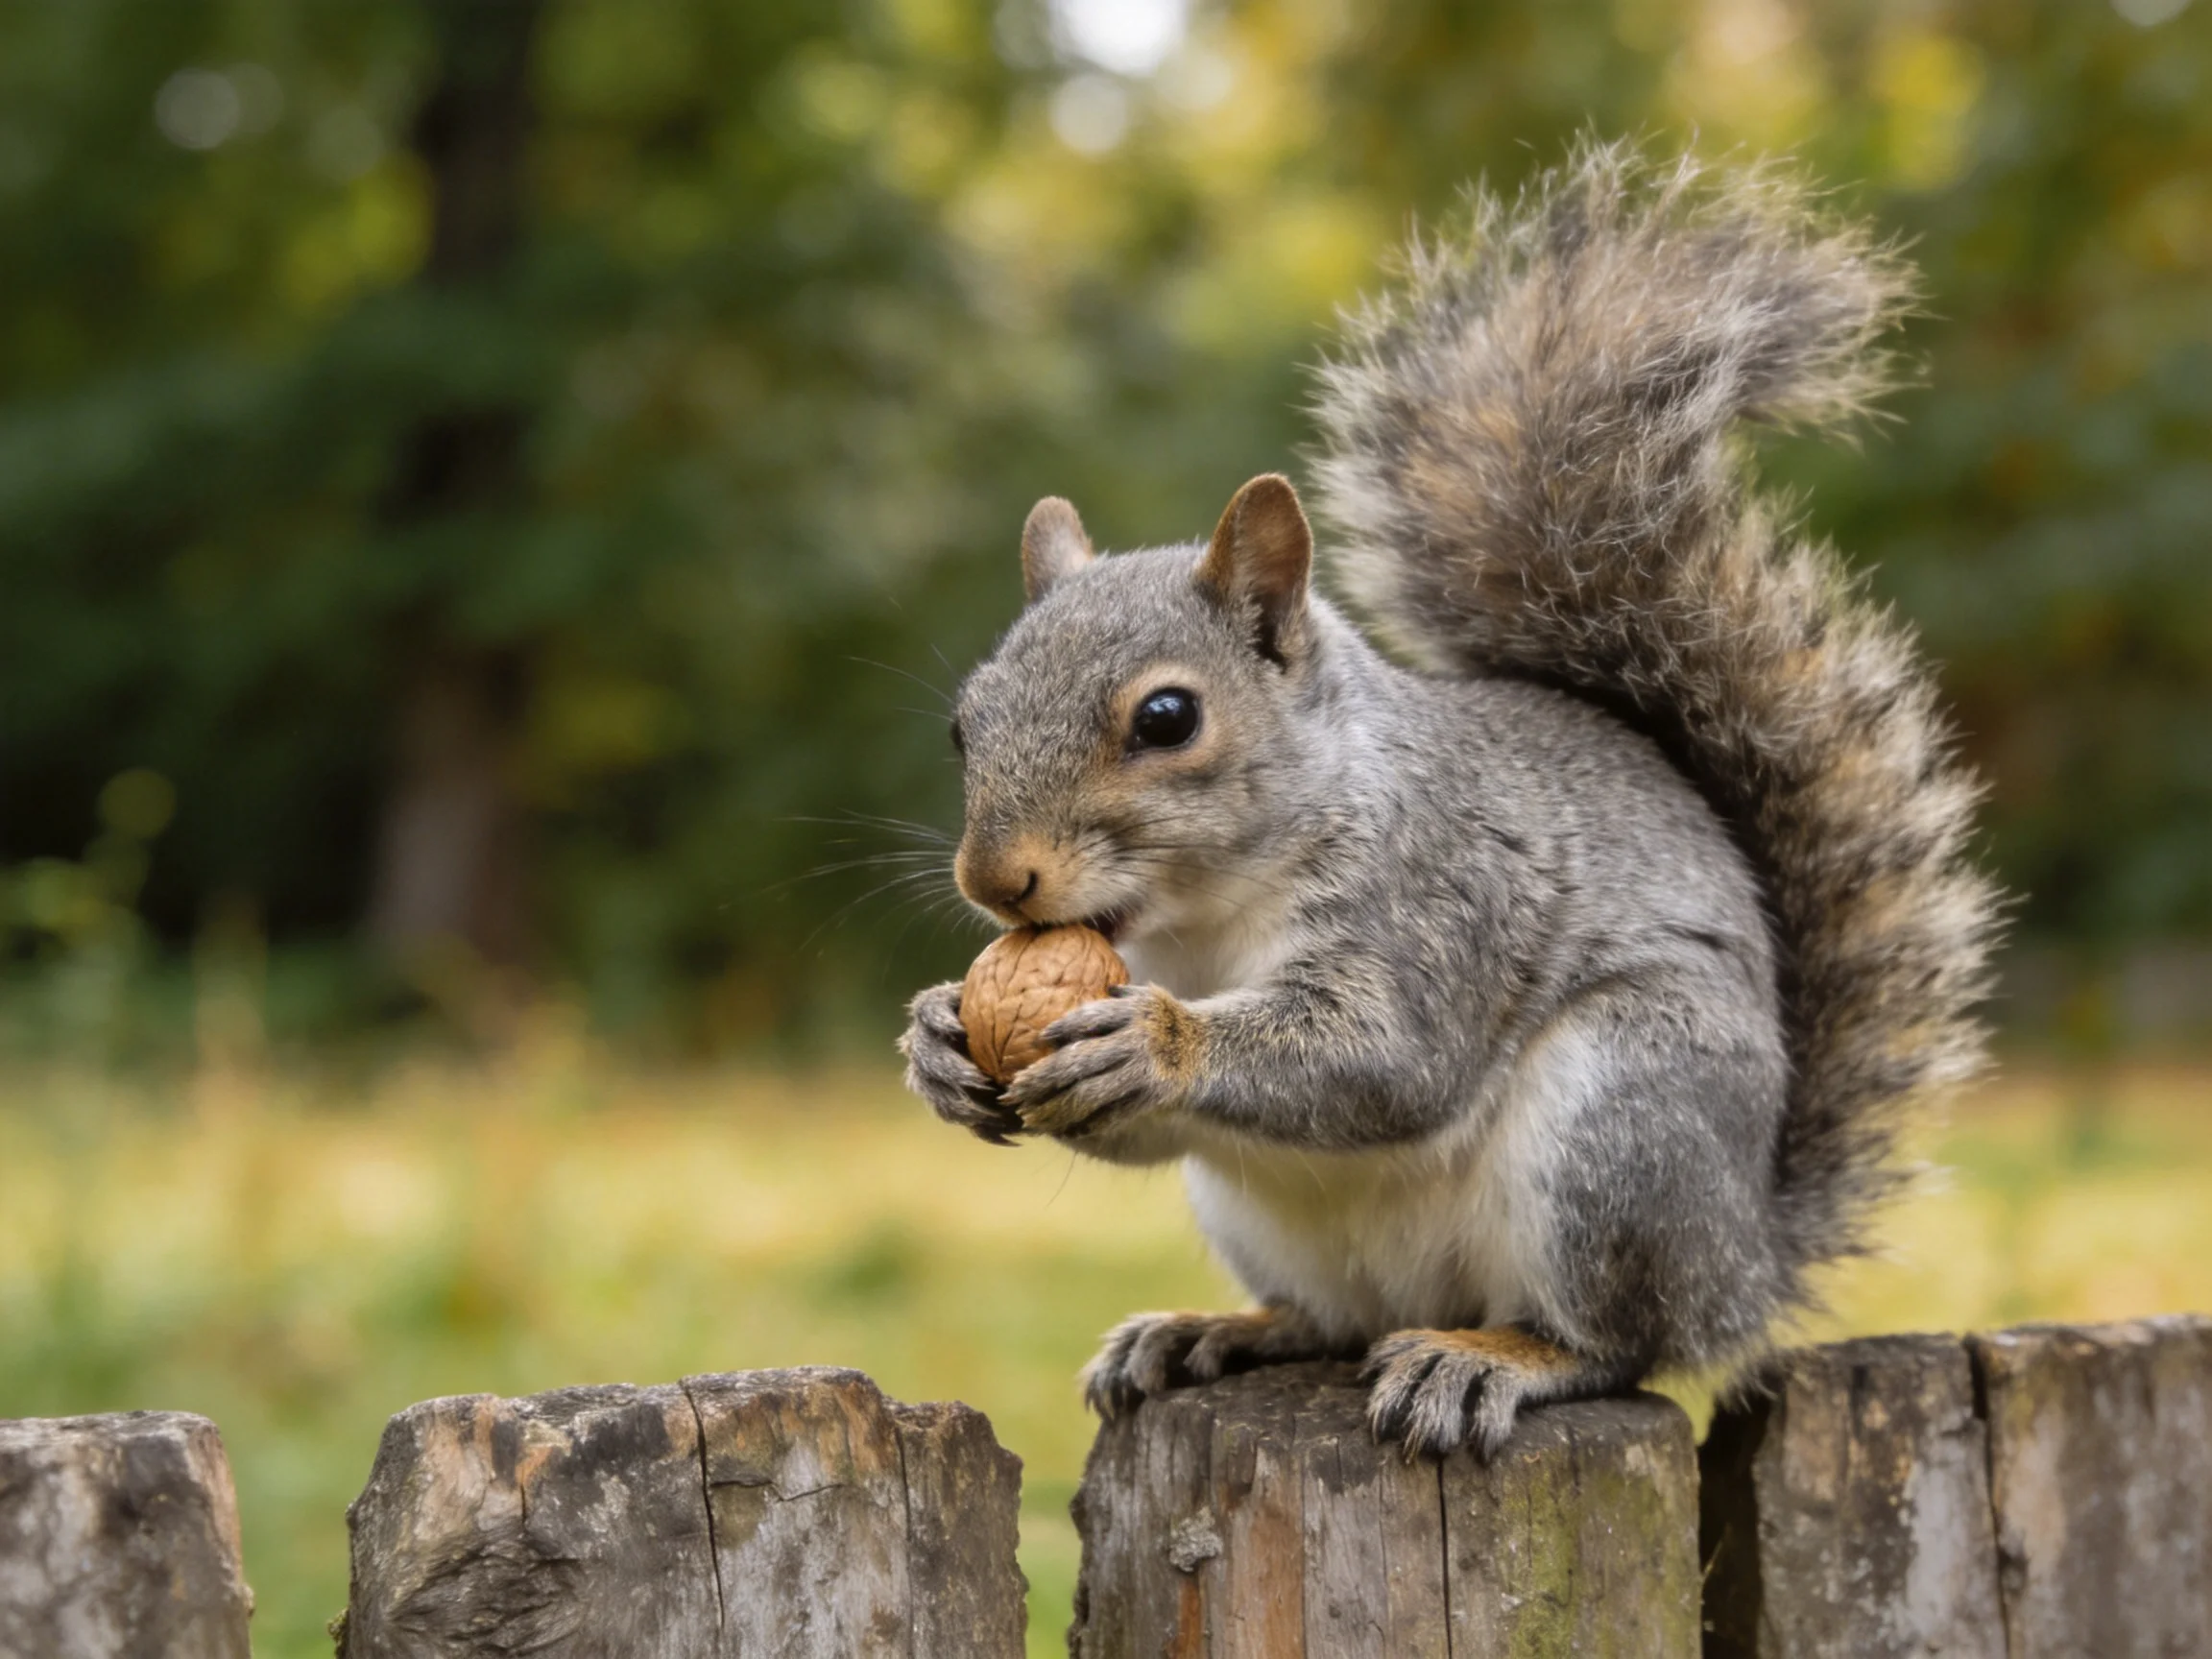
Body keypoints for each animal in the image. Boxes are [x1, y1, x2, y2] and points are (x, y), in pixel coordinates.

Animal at [899, 142, 1998, 1459]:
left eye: (1166, 719)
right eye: (965, 720)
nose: (993, 880)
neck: (1204, 915)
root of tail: (1746, 1262)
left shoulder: (1443, 895)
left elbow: (1389, 1055)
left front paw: (1156, 1042)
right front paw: (936, 1039)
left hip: (1620, 1126)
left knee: (1625, 1344)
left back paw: (1495, 1359)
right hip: (1271, 1213)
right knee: (1328, 1320)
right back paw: (1215, 1330)